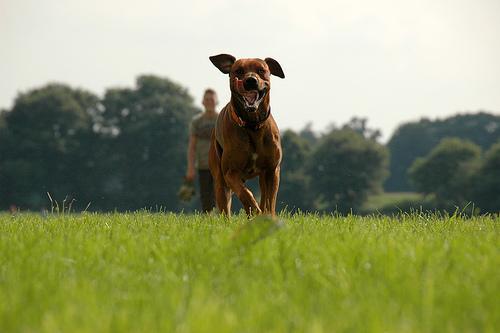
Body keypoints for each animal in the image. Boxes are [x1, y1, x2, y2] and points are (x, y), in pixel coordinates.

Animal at [207, 53, 286, 217]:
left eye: (261, 70)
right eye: (239, 71)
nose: (250, 81)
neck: (252, 126)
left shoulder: (272, 170)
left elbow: (270, 201)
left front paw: (268, 216)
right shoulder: (231, 173)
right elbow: (246, 194)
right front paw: (254, 211)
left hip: (262, 176)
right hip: (219, 178)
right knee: (224, 205)